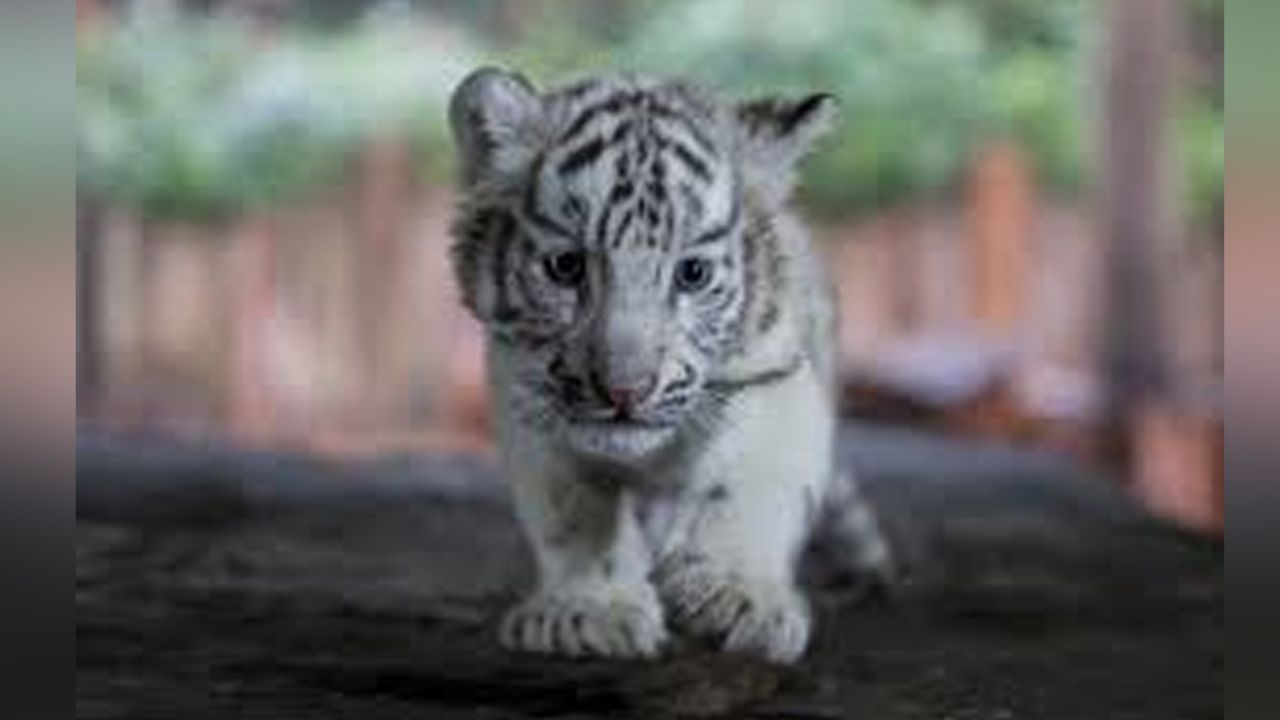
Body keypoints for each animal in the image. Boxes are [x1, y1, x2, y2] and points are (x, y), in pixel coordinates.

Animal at [448, 68, 892, 664]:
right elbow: (573, 512)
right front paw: (590, 611)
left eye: (693, 274)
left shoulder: (775, 378)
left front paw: (739, 598)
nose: (624, 391)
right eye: (566, 267)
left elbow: (750, 486)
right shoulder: (526, 398)